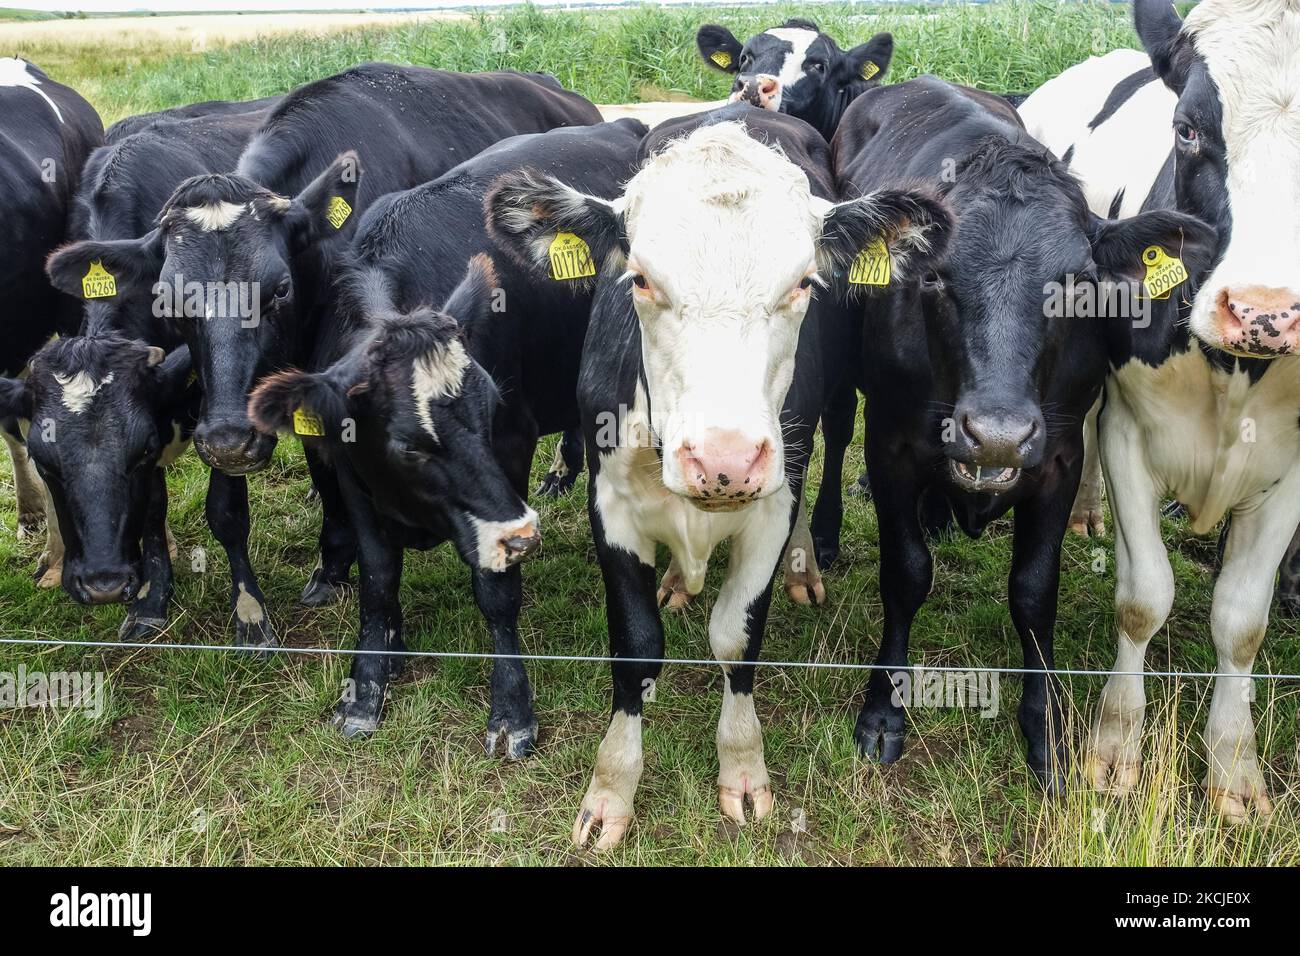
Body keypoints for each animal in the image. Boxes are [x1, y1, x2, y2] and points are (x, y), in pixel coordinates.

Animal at [245, 117, 647, 749]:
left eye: (490, 410)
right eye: (407, 445)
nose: (525, 536)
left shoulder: (511, 447)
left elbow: (496, 590)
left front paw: (511, 709)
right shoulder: (352, 472)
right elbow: (378, 580)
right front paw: (368, 686)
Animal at [832, 74, 1216, 790]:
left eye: (1078, 285)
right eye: (935, 277)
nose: (997, 435)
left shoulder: (1061, 458)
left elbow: (1035, 592)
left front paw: (1045, 727)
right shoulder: (892, 444)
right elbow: (906, 573)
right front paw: (884, 709)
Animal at [1013, 0, 1300, 822]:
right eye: (1187, 128)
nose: (1265, 312)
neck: (1236, 368)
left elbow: (1241, 621)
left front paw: (1235, 769)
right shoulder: (1129, 434)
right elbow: (1143, 599)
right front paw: (1115, 748)